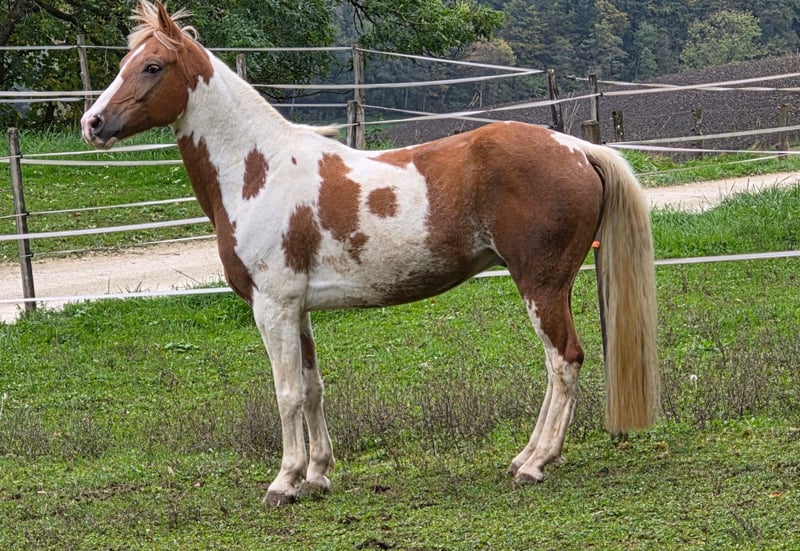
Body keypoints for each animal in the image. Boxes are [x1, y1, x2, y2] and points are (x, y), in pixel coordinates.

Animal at [81, 0, 659, 506]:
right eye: (123, 63)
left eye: (152, 66)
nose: (93, 123)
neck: (259, 171)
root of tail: (578, 148)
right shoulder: (298, 309)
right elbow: (313, 388)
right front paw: (318, 476)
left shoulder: (272, 306)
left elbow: (286, 392)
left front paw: (284, 482)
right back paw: (523, 458)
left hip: (541, 285)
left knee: (563, 361)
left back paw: (536, 463)